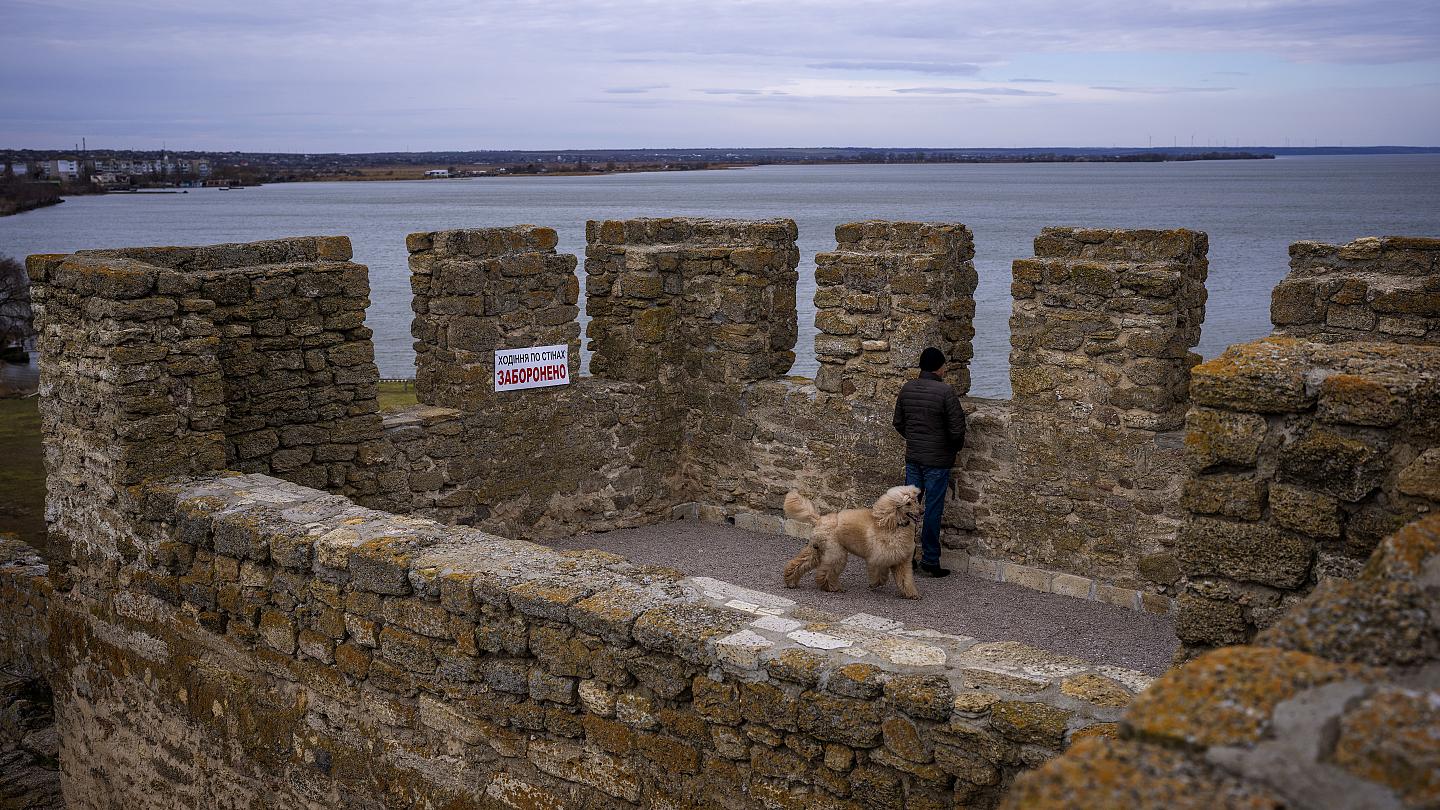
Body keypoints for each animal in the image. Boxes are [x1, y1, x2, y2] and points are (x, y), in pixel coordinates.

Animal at [789, 481, 921, 596]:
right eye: (908, 504)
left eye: (915, 501)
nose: (922, 511)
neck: (893, 523)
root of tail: (819, 519)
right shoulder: (878, 559)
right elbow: (880, 576)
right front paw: (874, 584)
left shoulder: (902, 561)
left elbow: (905, 579)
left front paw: (911, 594)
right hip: (835, 553)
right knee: (826, 572)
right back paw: (832, 587)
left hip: (817, 549)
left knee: (799, 563)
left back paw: (790, 580)